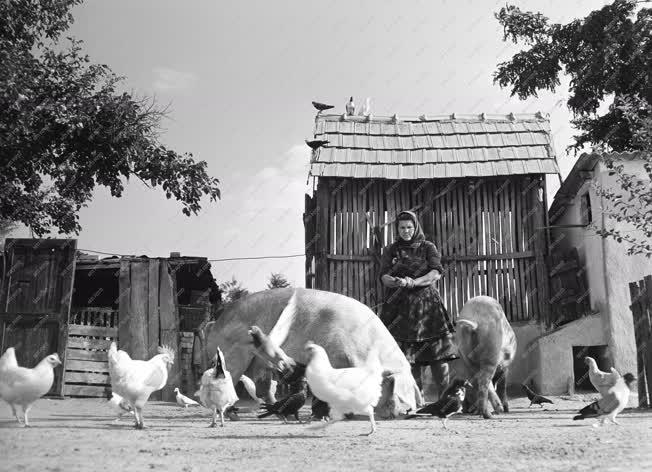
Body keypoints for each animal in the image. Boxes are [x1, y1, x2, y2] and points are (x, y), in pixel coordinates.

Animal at [194, 288, 422, 416]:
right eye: (393, 388)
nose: (405, 411)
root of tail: (216, 322)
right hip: (233, 355)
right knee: (230, 381)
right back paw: (230, 414)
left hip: (260, 363)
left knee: (263, 387)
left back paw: (273, 409)